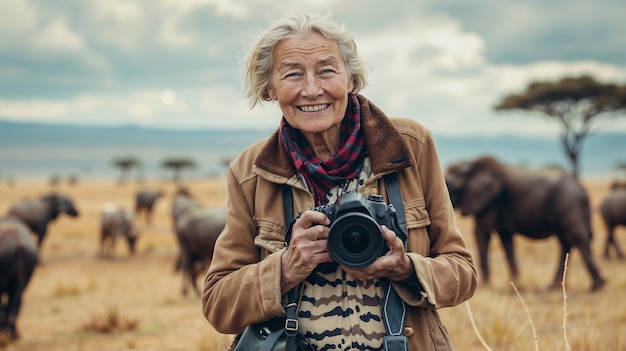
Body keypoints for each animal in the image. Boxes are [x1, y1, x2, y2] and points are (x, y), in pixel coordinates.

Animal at [444, 157, 604, 292]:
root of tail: (582, 189)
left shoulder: (487, 203)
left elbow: (482, 233)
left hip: (568, 205)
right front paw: (514, 282)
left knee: (578, 239)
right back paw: (554, 286)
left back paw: (596, 286)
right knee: (566, 242)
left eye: (452, 187)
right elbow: (507, 243)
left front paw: (486, 286)